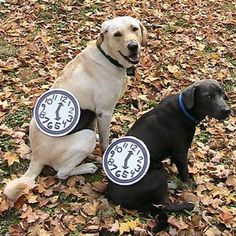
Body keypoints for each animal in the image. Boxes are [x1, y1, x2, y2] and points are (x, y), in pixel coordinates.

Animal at [4, 16, 147, 203]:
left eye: (134, 28)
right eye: (117, 34)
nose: (133, 46)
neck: (108, 57)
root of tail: (36, 156)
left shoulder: (96, 116)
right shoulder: (104, 112)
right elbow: (105, 141)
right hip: (84, 139)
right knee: (61, 172)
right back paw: (86, 167)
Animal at [107, 79, 230, 232]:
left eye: (221, 93)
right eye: (208, 96)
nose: (227, 110)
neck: (185, 110)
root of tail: (115, 198)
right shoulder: (181, 152)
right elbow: (184, 172)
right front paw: (189, 184)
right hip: (157, 177)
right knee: (164, 206)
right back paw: (188, 205)